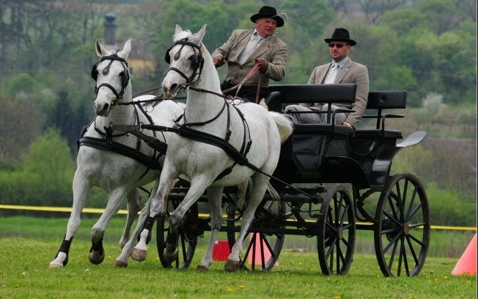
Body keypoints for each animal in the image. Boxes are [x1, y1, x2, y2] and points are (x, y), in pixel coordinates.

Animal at [48, 38, 183, 268]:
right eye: (97, 71)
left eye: (122, 74)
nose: (101, 105)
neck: (110, 135)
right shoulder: (81, 178)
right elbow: (74, 221)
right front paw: (60, 257)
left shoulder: (120, 187)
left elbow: (98, 227)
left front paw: (96, 252)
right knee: (135, 207)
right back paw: (124, 246)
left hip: (164, 177)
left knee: (150, 211)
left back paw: (135, 250)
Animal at [117, 24, 294, 272]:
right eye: (171, 55)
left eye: (192, 58)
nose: (168, 86)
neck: (199, 124)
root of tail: (268, 114)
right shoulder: (172, 169)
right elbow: (158, 207)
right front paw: (144, 250)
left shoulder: (202, 178)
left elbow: (177, 215)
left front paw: (171, 249)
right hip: (218, 185)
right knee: (219, 220)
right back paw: (205, 262)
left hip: (260, 179)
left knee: (250, 218)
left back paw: (232, 259)